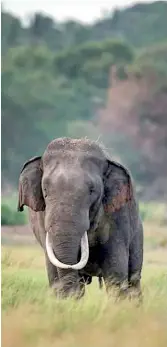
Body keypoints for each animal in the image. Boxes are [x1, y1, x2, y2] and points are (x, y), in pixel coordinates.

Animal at [18, 137, 144, 300]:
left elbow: (115, 272)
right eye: (45, 190)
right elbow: (54, 275)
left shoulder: (118, 217)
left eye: (92, 190)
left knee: (133, 278)